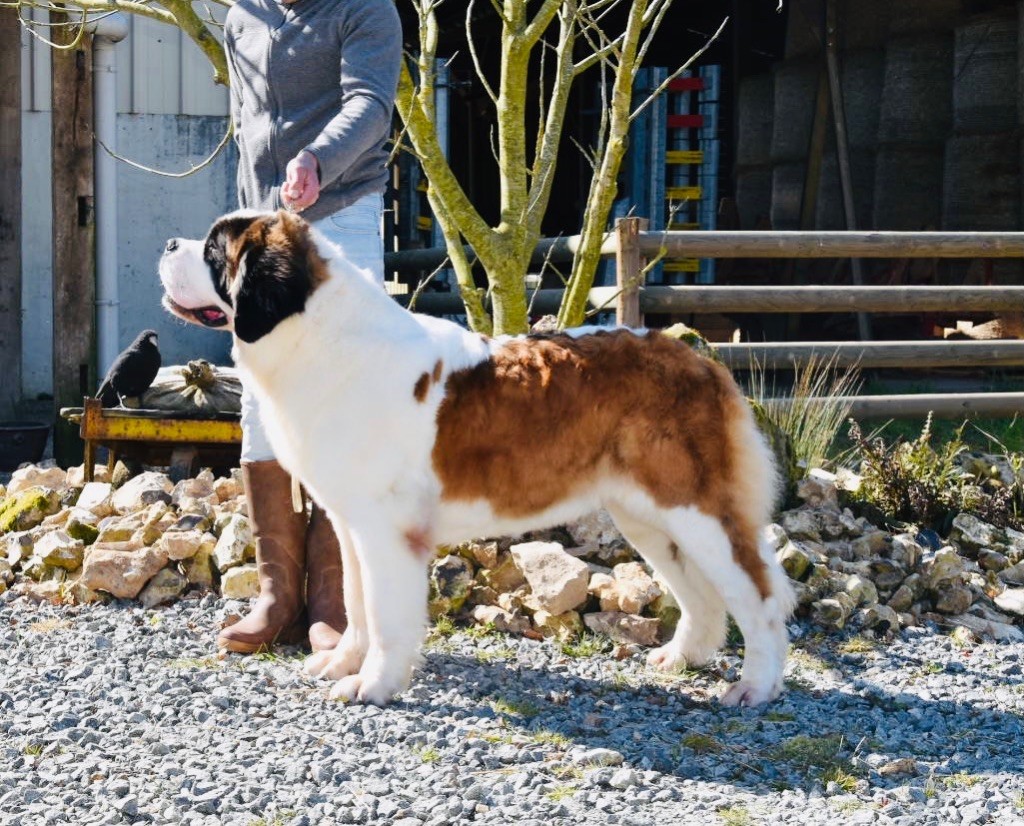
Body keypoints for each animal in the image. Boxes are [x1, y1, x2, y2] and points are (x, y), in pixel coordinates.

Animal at [159, 209, 794, 707]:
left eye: (213, 251)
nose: (167, 245)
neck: (320, 337)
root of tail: (696, 357)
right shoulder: (350, 523)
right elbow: (355, 603)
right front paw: (343, 662)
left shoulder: (387, 531)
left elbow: (384, 614)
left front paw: (372, 685)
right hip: (648, 518)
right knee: (701, 594)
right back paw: (682, 657)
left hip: (696, 510)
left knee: (761, 597)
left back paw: (753, 688)